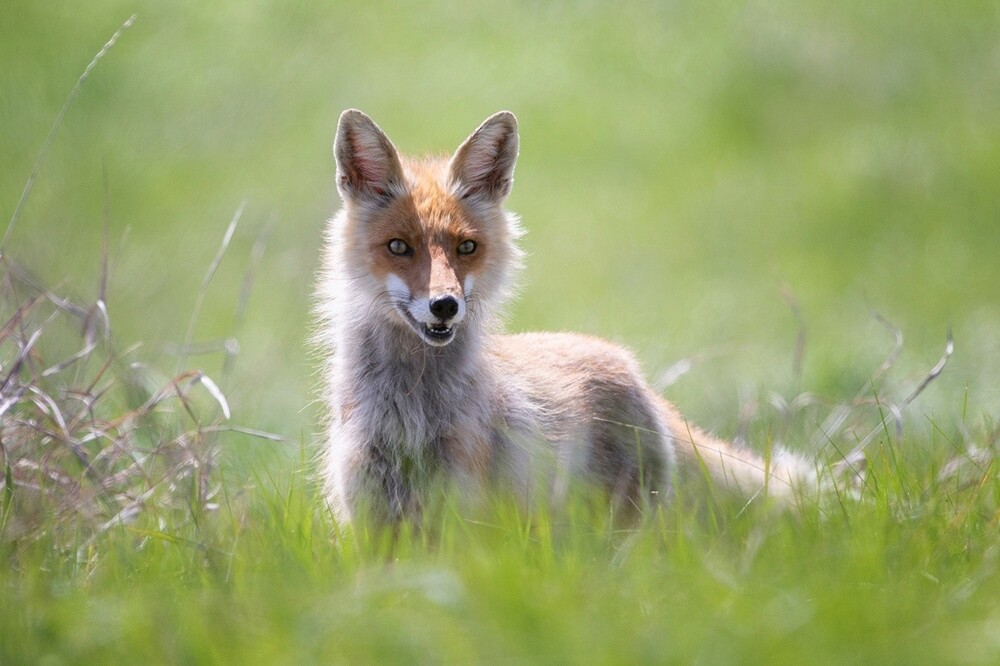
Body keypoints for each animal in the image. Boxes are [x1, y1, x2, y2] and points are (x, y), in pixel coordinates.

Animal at [316, 107, 824, 524]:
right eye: (398, 247)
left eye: (467, 247)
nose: (445, 305)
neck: (409, 415)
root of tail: (639, 378)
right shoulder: (369, 519)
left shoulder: (461, 515)